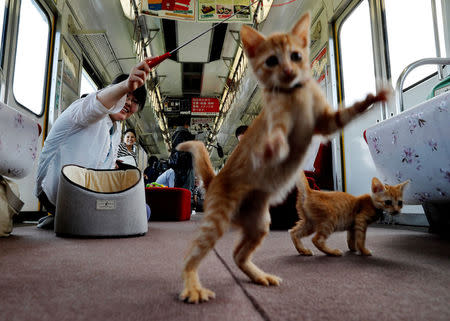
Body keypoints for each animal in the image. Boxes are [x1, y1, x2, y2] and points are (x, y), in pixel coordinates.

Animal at [178, 12, 388, 302]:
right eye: (271, 61)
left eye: (296, 56)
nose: (288, 71)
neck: (295, 94)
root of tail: (214, 181)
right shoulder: (277, 121)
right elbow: (276, 135)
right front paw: (273, 147)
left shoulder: (326, 122)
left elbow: (345, 114)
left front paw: (372, 98)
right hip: (218, 218)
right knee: (192, 255)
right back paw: (192, 286)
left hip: (259, 222)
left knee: (237, 255)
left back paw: (259, 276)